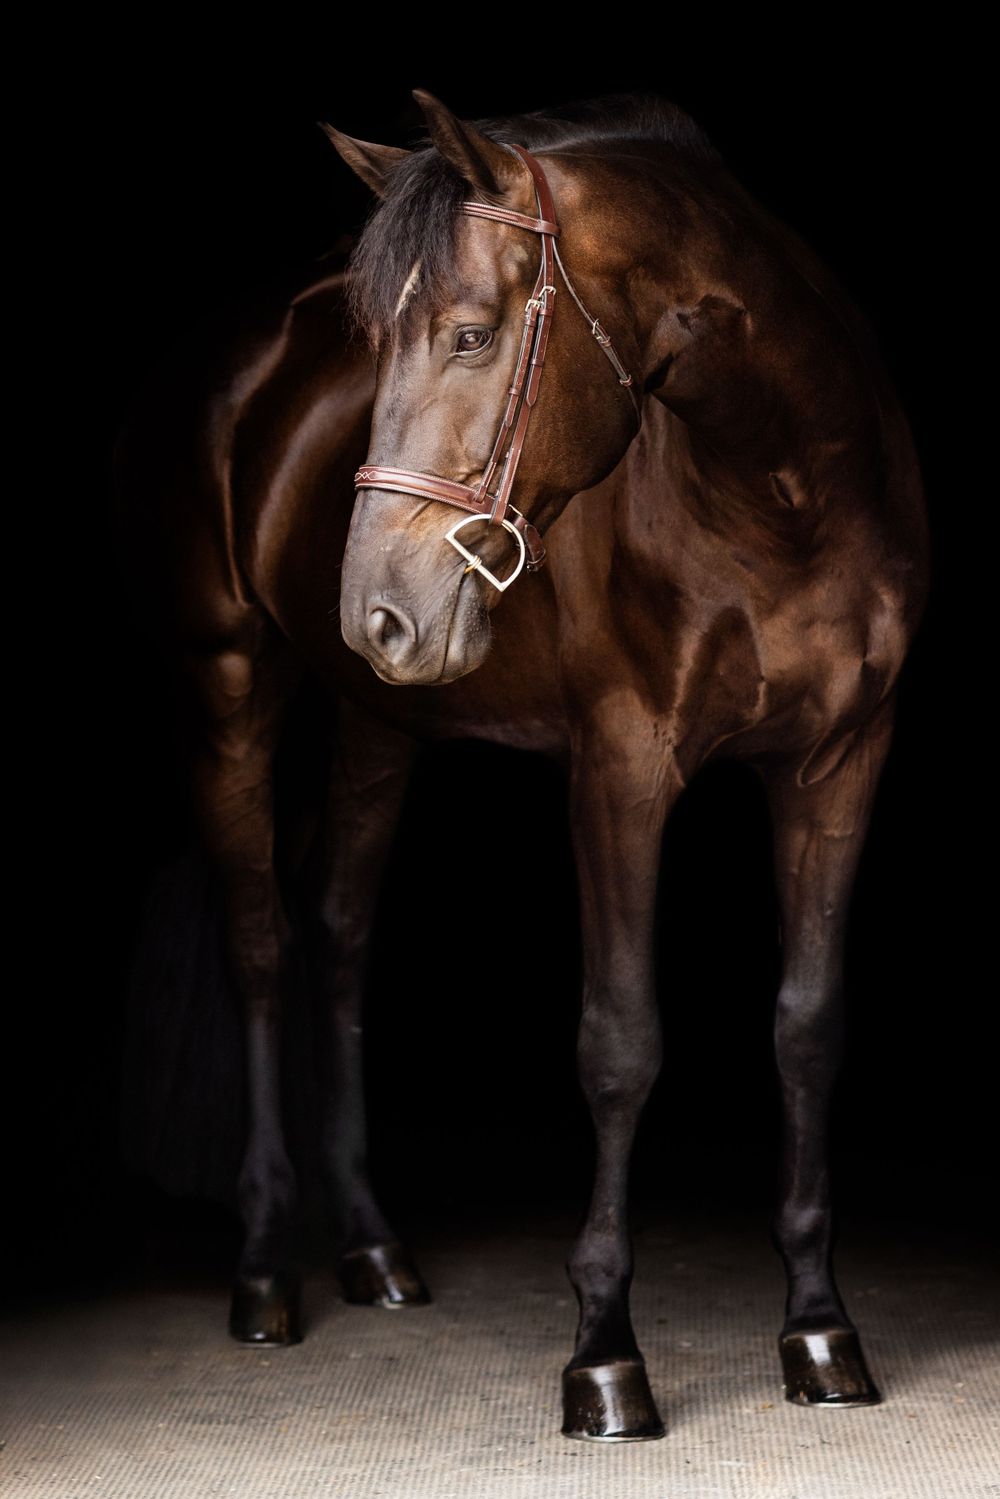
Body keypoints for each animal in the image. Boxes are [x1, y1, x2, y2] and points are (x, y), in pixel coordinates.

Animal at [112, 89, 930, 1442]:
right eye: (378, 343)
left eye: (470, 335)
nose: (375, 608)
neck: (778, 494)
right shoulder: (622, 768)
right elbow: (619, 1042)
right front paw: (603, 1353)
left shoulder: (839, 763)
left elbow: (809, 1026)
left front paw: (820, 1326)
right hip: (226, 686)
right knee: (265, 950)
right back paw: (268, 1265)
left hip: (378, 725)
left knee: (339, 938)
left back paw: (374, 1248)